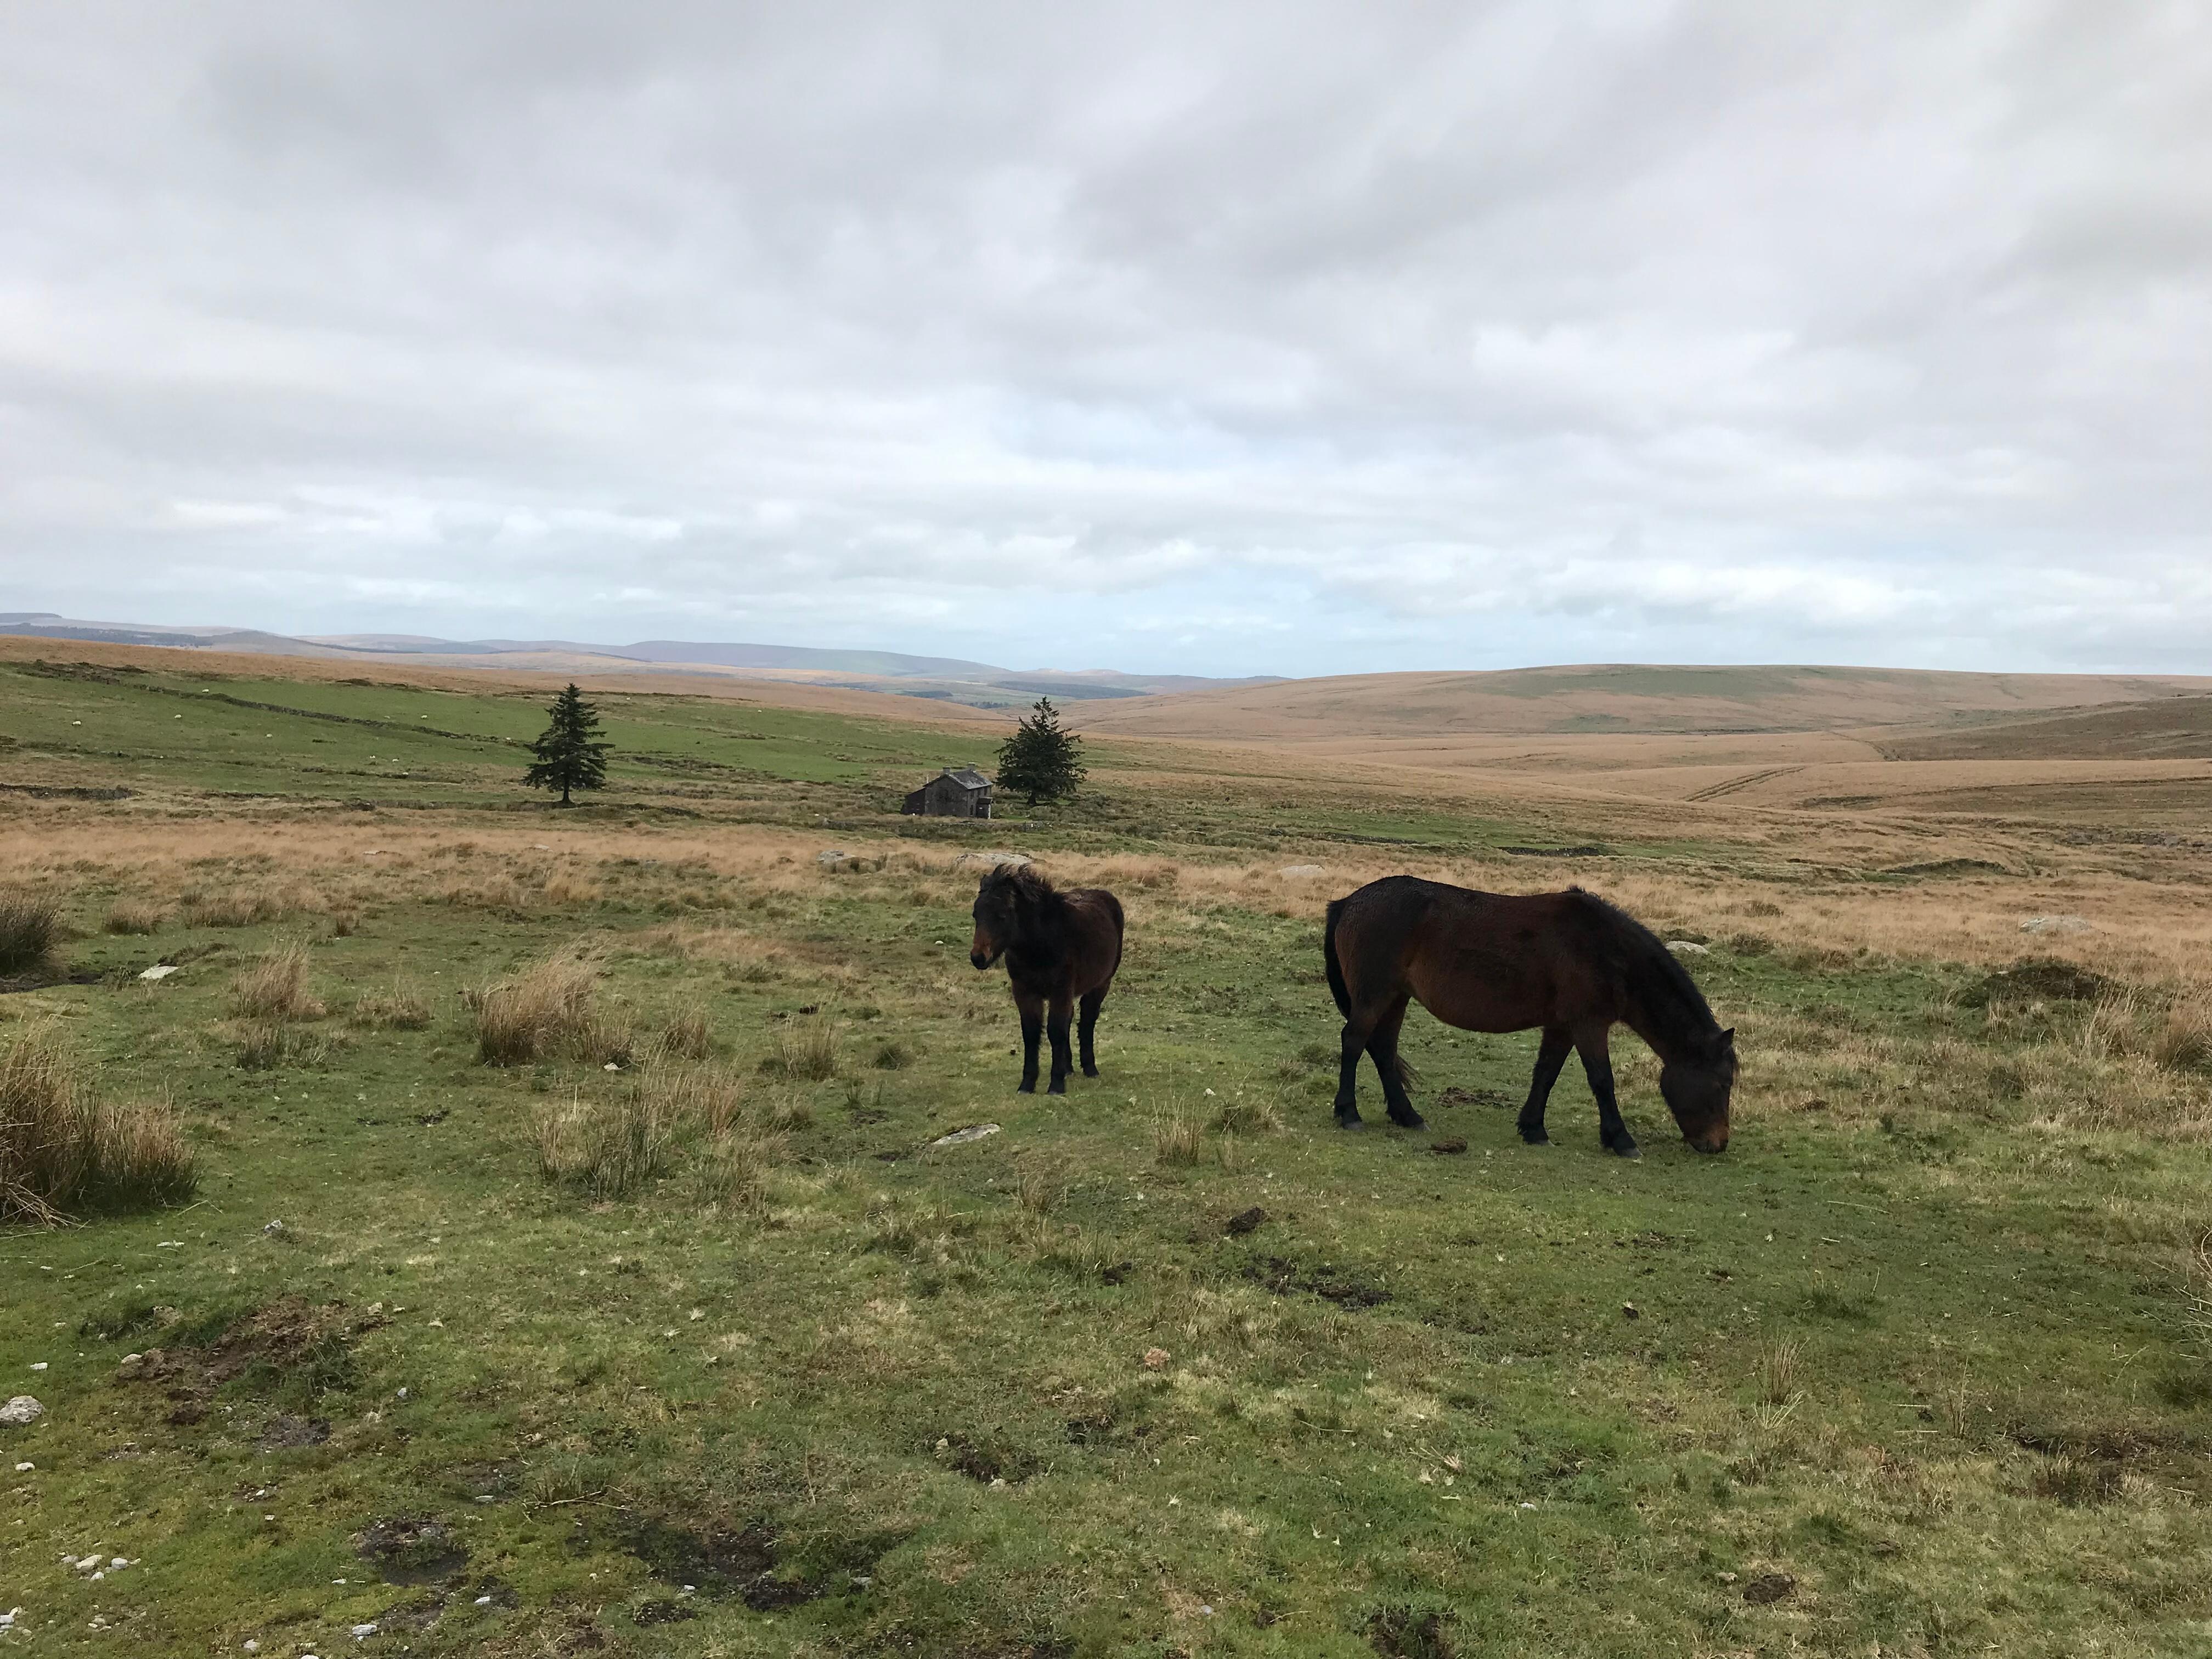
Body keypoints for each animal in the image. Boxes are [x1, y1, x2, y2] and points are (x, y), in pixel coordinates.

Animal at [969, 864, 1126, 1094]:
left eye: (1002, 916)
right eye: (976, 915)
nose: (978, 957)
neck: (1041, 945)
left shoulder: (1061, 990)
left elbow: (1056, 1031)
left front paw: (1056, 1085)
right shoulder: (1024, 992)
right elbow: (1032, 1033)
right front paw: (1027, 1084)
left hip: (1100, 985)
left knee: (1087, 1022)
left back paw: (1090, 1068)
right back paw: (1069, 1068)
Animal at [1322, 877, 1734, 1155]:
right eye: (1721, 1084)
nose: (1717, 1144)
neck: (1606, 949)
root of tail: (1348, 902)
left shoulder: (1562, 1027)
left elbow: (1546, 1073)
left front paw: (1534, 1129)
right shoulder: (1588, 1025)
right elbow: (1602, 1081)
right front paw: (1621, 1139)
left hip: (1396, 998)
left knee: (1383, 1050)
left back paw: (1407, 1116)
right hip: (1376, 996)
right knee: (1354, 1042)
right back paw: (1350, 1114)